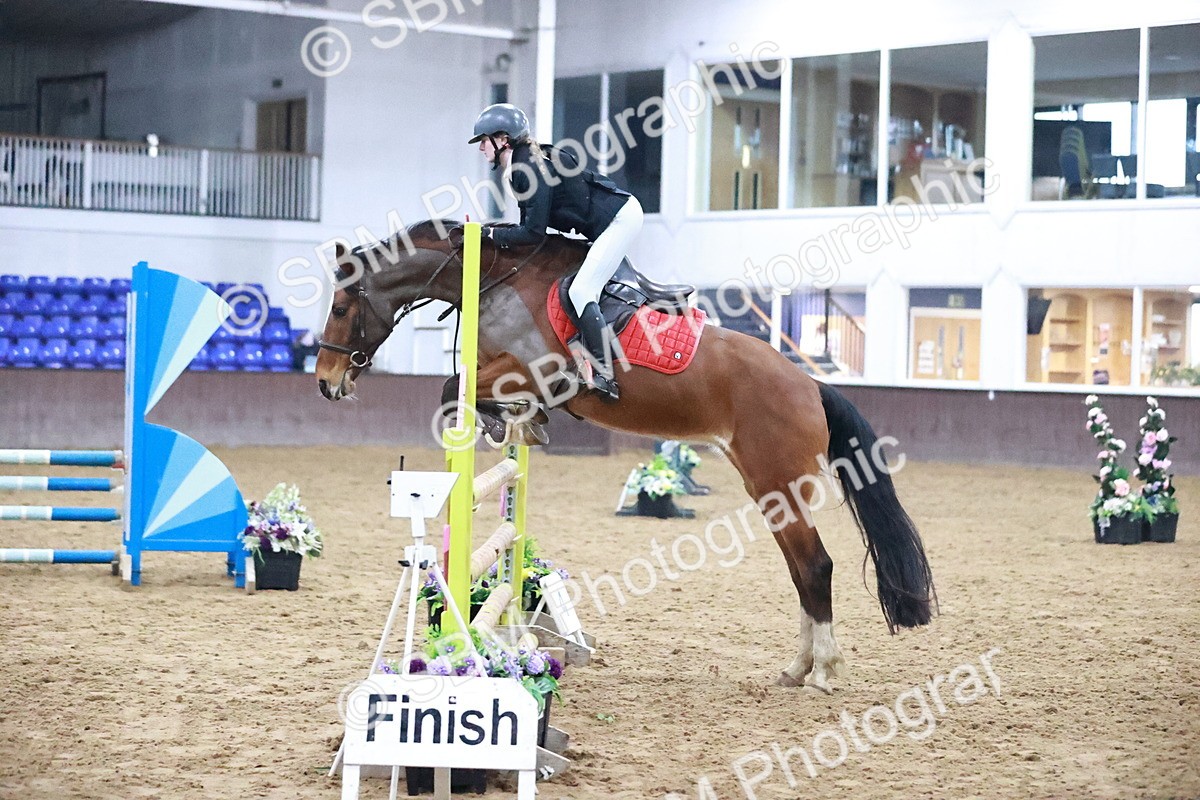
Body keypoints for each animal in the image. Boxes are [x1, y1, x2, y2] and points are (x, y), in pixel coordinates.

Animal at [315, 220, 935, 692]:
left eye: (342, 306)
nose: (326, 381)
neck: (496, 280)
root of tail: (810, 384)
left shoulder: (539, 370)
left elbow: (452, 387)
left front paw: (501, 420)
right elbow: (470, 392)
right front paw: (520, 422)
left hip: (776, 479)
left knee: (815, 565)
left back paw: (823, 671)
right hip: (766, 486)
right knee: (801, 569)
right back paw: (797, 667)